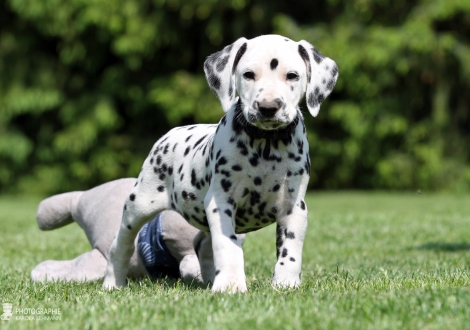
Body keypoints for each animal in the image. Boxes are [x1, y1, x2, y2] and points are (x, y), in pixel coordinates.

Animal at [103, 34, 338, 292]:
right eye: (248, 74)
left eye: (292, 75)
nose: (268, 107)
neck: (266, 147)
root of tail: (169, 134)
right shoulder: (221, 202)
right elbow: (227, 246)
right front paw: (231, 284)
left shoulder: (294, 207)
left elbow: (291, 249)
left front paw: (286, 283)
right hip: (139, 205)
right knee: (120, 244)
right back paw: (113, 282)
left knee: (201, 244)